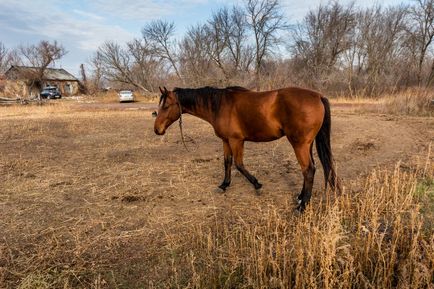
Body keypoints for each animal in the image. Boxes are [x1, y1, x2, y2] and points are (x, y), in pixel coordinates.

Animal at [154, 85, 340, 209]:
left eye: (166, 106)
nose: (157, 130)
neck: (219, 105)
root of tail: (318, 96)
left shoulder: (236, 140)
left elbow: (239, 164)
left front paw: (257, 184)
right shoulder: (226, 141)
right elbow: (227, 163)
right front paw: (224, 185)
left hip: (299, 145)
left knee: (308, 170)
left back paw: (302, 206)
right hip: (306, 144)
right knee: (311, 168)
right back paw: (301, 198)